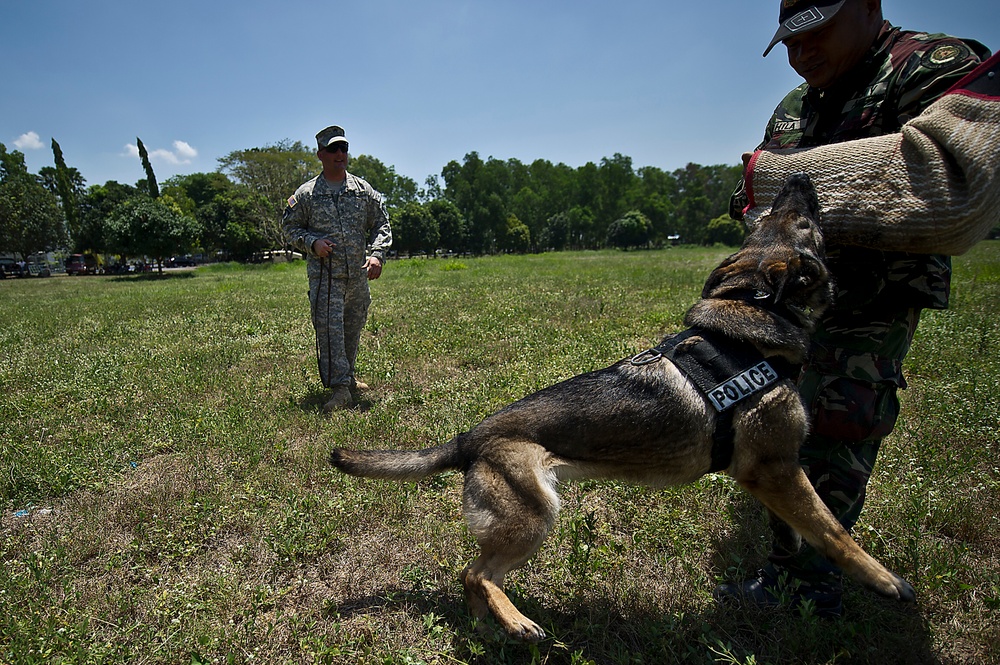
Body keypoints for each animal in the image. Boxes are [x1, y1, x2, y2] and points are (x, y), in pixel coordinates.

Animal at [328, 174, 916, 640]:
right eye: (800, 222)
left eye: (777, 219)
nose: (799, 178)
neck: (747, 325)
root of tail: (469, 437)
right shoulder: (774, 468)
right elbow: (834, 530)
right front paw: (885, 581)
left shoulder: (775, 475)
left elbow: (797, 527)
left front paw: (790, 549)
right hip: (537, 513)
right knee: (476, 573)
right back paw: (518, 622)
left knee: (472, 580)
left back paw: (491, 627)